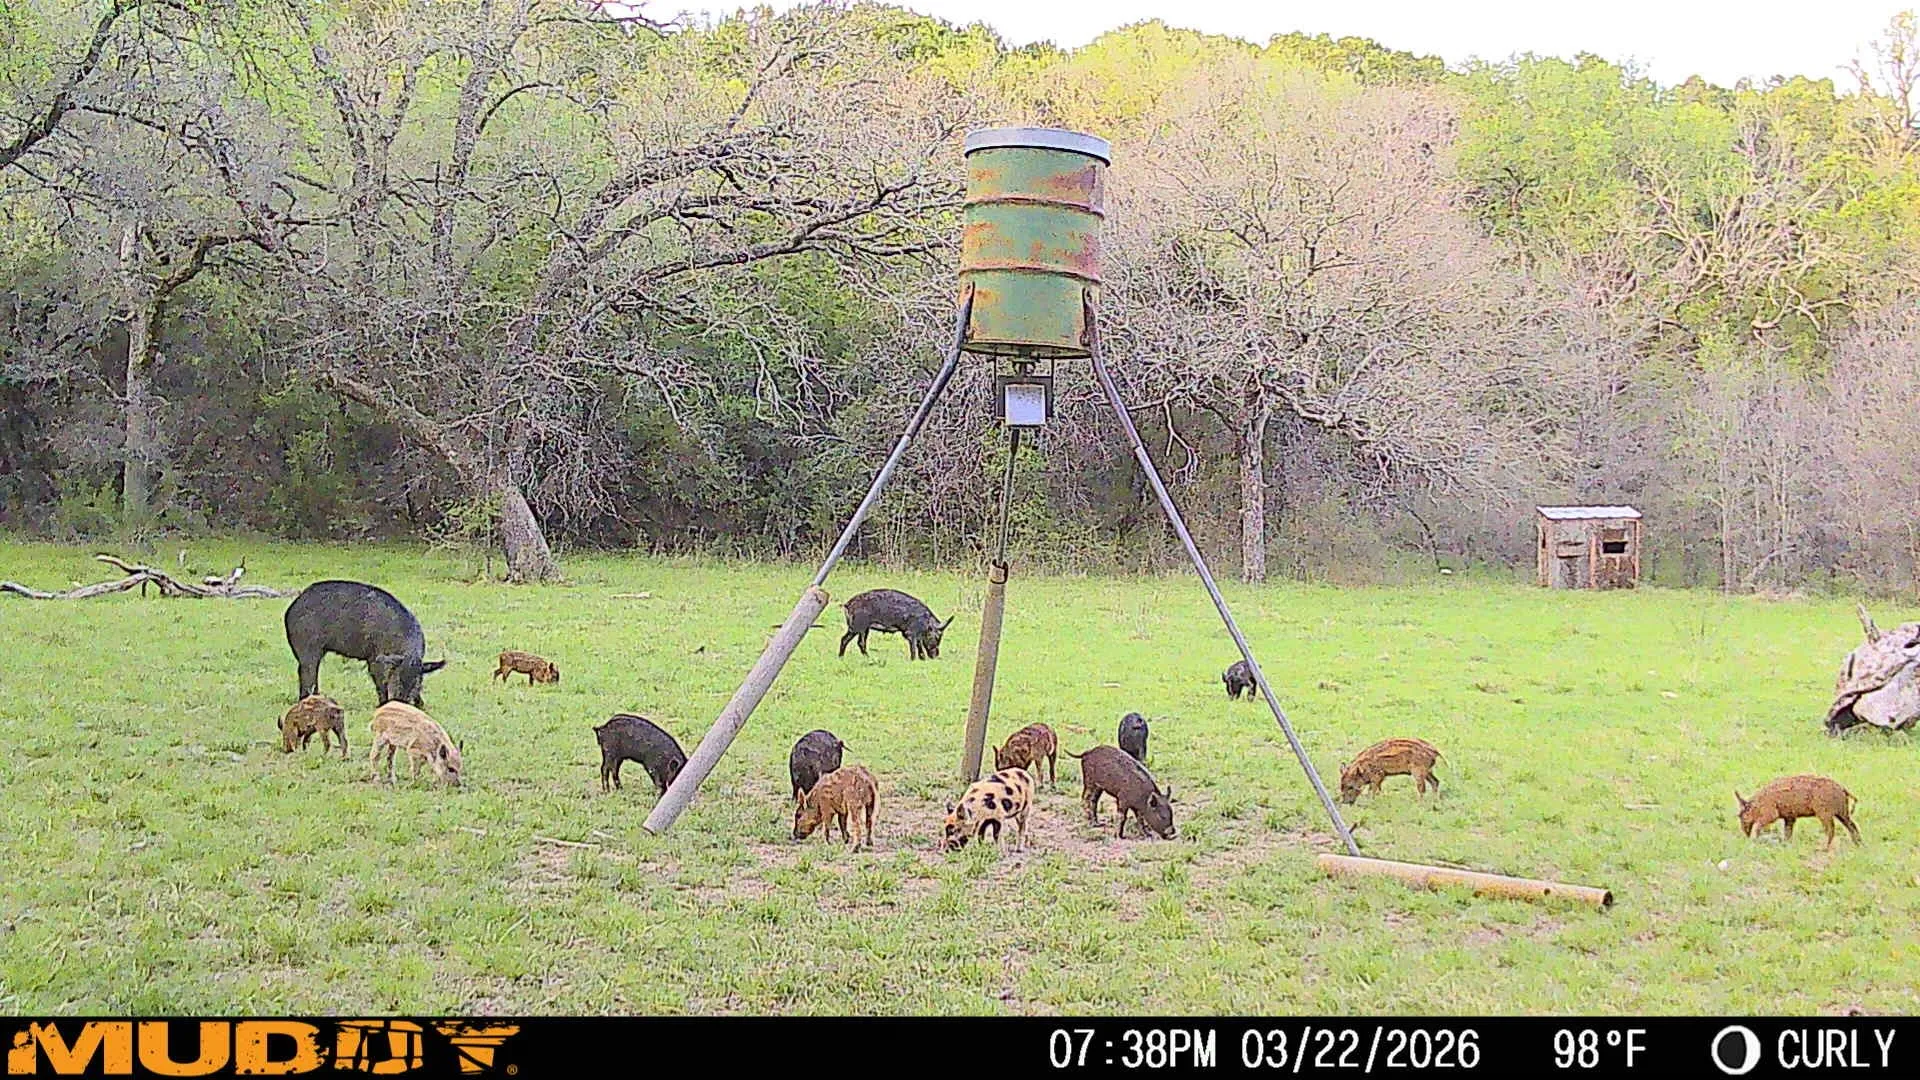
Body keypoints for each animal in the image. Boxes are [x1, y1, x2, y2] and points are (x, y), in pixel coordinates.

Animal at [284, 580, 445, 707]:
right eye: (397, 679)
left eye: (418, 683)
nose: (402, 701)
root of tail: (290, 610)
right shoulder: (375, 657)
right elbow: (380, 683)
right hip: (308, 647)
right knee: (307, 674)